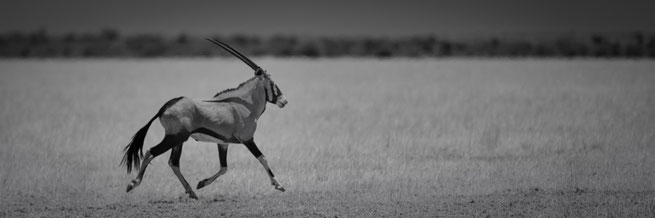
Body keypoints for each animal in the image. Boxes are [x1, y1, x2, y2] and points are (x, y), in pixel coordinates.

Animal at [120, 38, 288, 198]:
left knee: (173, 162)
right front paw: (278, 185)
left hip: (179, 141)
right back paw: (133, 183)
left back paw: (191, 192)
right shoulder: (247, 139)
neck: (245, 104)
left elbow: (224, 167)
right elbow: (262, 158)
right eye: (272, 83)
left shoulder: (223, 143)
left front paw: (201, 183)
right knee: (151, 151)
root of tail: (166, 106)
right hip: (175, 137)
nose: (284, 101)